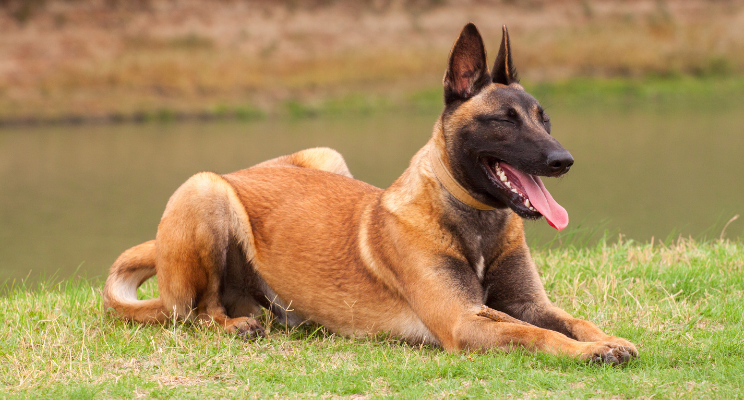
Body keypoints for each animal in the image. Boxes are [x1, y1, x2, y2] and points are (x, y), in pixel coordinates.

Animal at [103, 23, 640, 364]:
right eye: (504, 121)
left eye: (542, 118)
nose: (563, 160)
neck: (475, 221)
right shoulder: (464, 320)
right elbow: (535, 334)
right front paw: (589, 352)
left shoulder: (528, 303)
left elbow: (569, 319)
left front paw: (606, 338)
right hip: (206, 190)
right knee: (197, 312)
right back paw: (235, 324)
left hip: (325, 156)